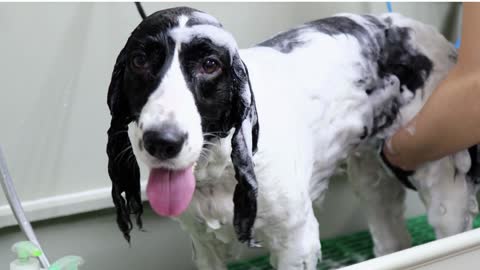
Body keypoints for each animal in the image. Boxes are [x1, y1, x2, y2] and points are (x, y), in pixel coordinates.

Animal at [107, 6, 478, 270]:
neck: (221, 167)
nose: (161, 141)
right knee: (392, 240)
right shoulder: (204, 245)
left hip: (445, 189)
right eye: (139, 60)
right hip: (372, 181)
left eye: (210, 64)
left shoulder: (296, 240)